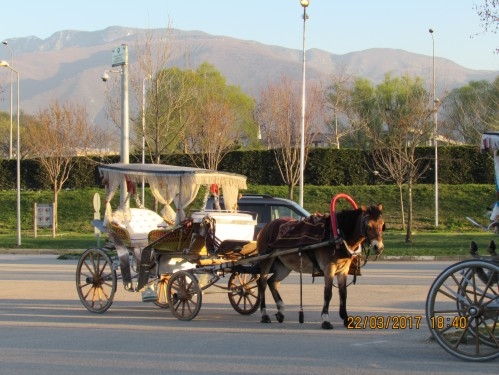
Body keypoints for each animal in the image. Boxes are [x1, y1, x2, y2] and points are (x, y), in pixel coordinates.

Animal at [256, 204, 384, 330]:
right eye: (368, 226)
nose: (379, 247)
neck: (338, 235)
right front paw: (326, 320)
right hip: (266, 259)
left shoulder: (343, 270)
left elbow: (343, 293)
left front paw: (346, 319)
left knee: (272, 282)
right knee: (262, 283)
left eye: (382, 225)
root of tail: (267, 226)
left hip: (284, 265)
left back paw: (281, 311)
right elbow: (328, 293)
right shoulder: (329, 269)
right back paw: (264, 315)